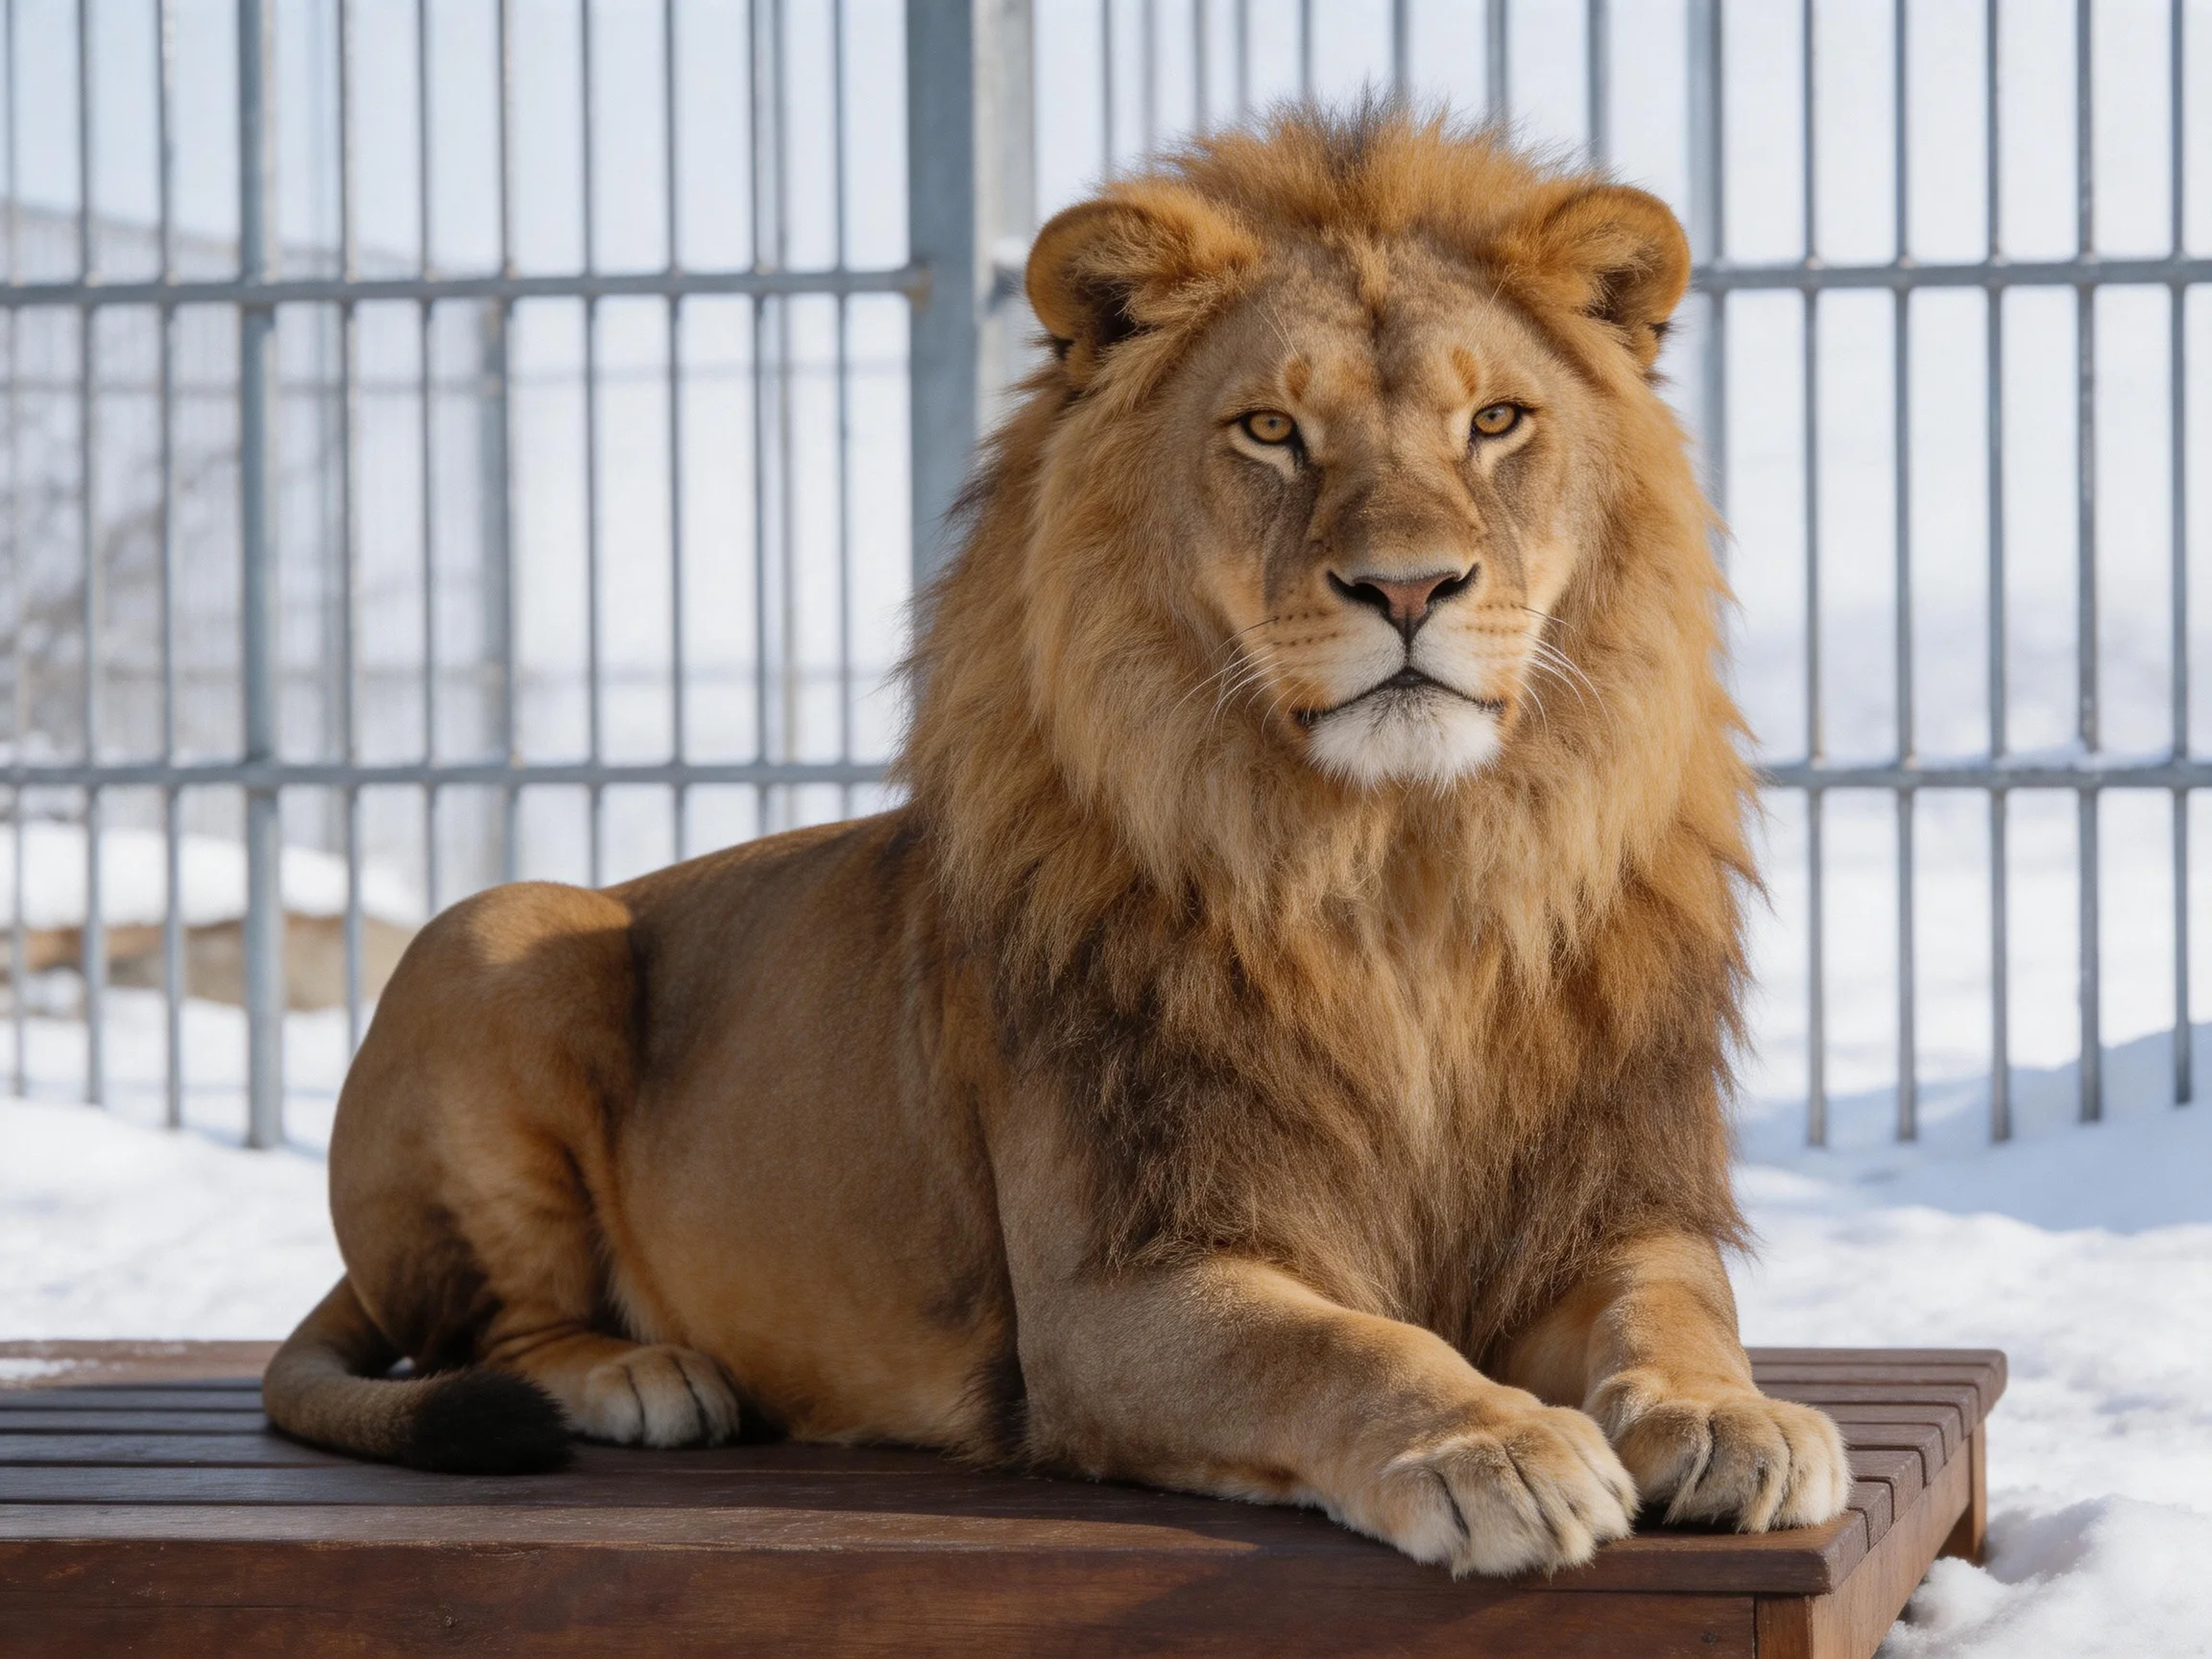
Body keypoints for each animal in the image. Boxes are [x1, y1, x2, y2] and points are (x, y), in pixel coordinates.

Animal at [263, 106, 1849, 1578]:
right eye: (1271, 430)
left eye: (1498, 423)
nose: (1409, 589)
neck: (1399, 876)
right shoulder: (1115, 1293)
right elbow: (1347, 1348)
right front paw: (1494, 1447)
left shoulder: (1611, 1205)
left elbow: (1678, 1306)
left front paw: (1736, 1419)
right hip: (504, 928)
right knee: (495, 1329)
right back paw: (642, 1375)